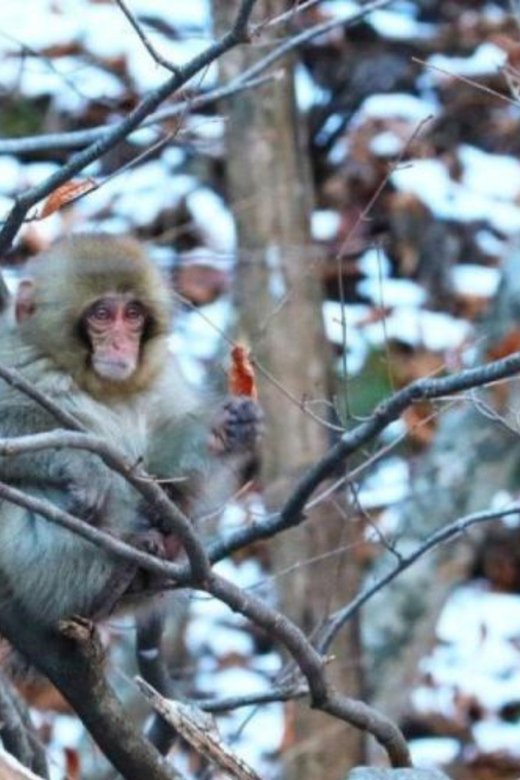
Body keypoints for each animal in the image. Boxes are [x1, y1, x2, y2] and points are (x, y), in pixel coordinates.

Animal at [0, 233, 262, 644]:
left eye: (133, 314)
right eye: (102, 315)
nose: (122, 344)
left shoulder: (161, 376)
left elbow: (160, 465)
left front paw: (224, 431)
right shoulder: (13, 360)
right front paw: (85, 464)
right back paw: (113, 573)